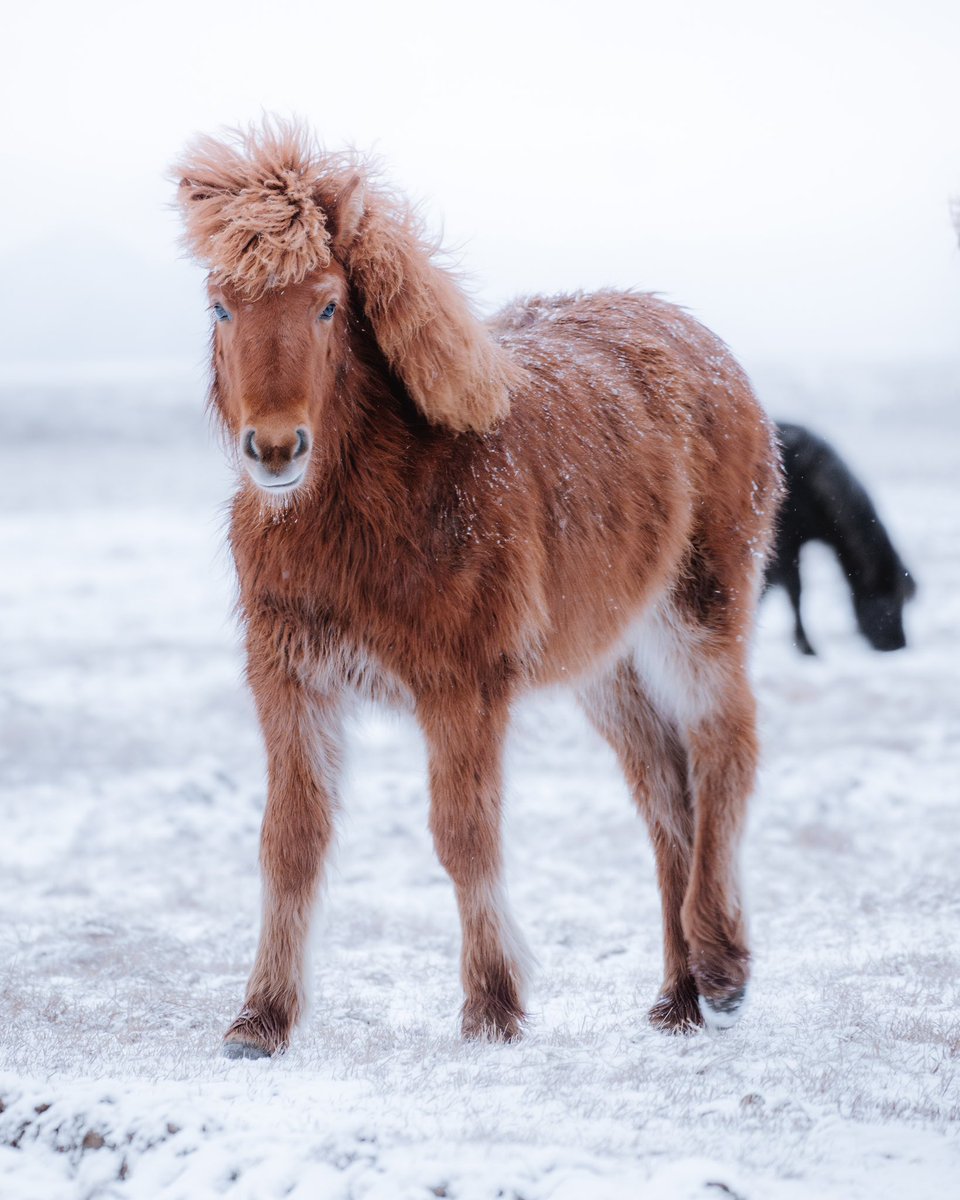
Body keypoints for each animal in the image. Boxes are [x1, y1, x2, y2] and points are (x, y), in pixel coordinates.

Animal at [176, 119, 782, 1060]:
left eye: (327, 304)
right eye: (221, 306)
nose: (276, 450)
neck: (388, 500)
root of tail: (702, 341)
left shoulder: (462, 687)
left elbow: (464, 837)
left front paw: (493, 1005)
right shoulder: (291, 681)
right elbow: (290, 844)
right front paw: (261, 1019)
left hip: (697, 612)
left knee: (724, 748)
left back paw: (722, 969)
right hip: (606, 665)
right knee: (664, 791)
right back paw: (679, 996)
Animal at [763, 424, 916, 657]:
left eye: (902, 602)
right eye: (887, 604)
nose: (898, 645)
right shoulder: (786, 546)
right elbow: (795, 593)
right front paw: (807, 648)